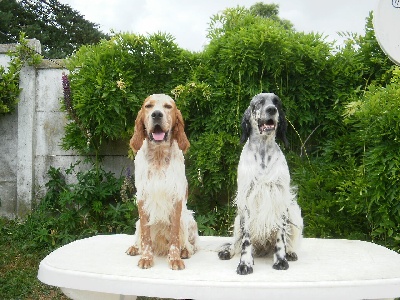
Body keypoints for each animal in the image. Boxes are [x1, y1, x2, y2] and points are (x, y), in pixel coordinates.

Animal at [126, 93, 198, 270]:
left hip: (188, 218)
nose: (157, 114)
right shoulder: (142, 199)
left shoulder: (176, 199)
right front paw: (146, 257)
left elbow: (174, 237)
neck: (158, 156)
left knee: (190, 243)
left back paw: (185, 251)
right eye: (148, 106)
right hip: (137, 222)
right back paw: (134, 248)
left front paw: (175, 259)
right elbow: (145, 236)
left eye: (168, 106)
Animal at [219, 92, 304, 276]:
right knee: (235, 242)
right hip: (237, 219)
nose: (271, 110)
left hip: (294, 211)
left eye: (277, 102)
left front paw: (281, 260)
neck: (263, 151)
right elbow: (245, 241)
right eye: (259, 103)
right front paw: (245, 263)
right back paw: (228, 251)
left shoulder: (280, 198)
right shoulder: (247, 200)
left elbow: (281, 236)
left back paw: (291, 252)